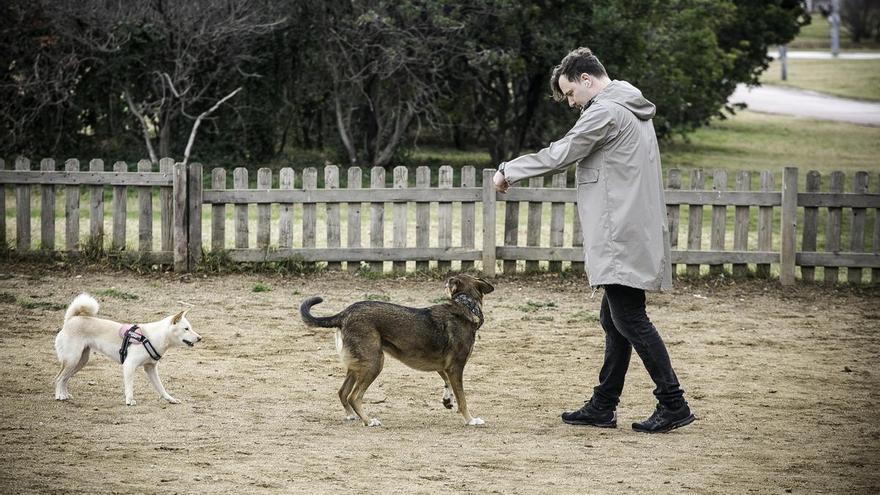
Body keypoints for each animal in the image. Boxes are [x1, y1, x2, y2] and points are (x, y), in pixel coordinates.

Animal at [54, 292, 202, 404]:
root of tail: (71, 319)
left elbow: (161, 387)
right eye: (186, 329)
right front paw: (130, 400)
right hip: (72, 359)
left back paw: (65, 394)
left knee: (64, 378)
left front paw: (170, 399)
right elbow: (130, 386)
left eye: (190, 328)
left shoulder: (151, 368)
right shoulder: (129, 365)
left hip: (80, 361)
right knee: (59, 377)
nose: (200, 338)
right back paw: (59, 396)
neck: (155, 336)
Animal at [300, 274, 496, 428]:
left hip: (358, 364)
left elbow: (447, 384)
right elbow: (462, 399)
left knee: (342, 392)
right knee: (353, 397)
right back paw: (368, 421)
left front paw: (447, 400)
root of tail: (343, 314)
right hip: (374, 363)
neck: (466, 305)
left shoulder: (443, 366)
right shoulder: (456, 367)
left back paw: (352, 416)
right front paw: (470, 420)